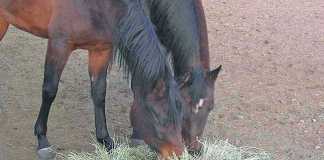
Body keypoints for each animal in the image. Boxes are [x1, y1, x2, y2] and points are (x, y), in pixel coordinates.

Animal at [0, 0, 185, 159]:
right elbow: (49, 90)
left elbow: (99, 93)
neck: (95, 5)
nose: (177, 153)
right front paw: (42, 139)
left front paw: (106, 140)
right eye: (158, 115)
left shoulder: (101, 50)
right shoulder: (59, 45)